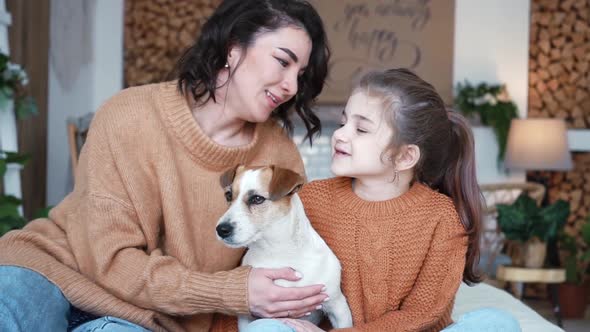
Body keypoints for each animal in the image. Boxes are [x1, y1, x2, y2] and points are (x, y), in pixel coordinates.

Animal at [216, 165, 352, 330]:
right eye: (228, 195)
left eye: (257, 199)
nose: (221, 229)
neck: (277, 251)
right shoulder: (246, 318)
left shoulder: (338, 307)